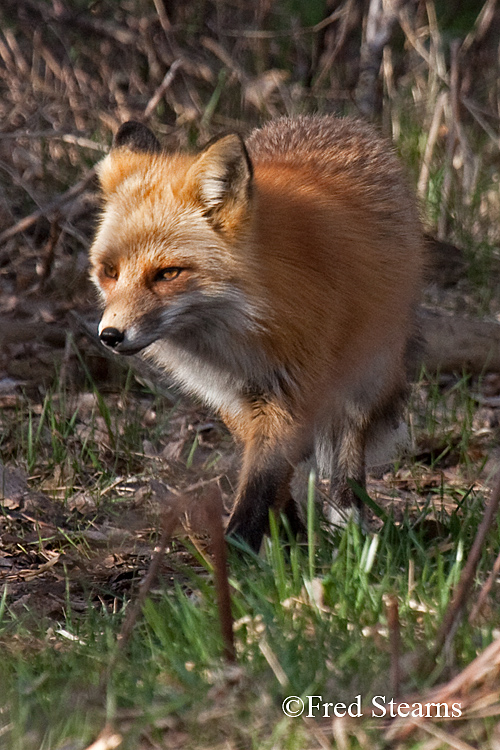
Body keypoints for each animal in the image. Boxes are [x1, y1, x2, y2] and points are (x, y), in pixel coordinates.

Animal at [89, 116, 422, 552]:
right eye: (110, 272)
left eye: (168, 273)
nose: (110, 335)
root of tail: (332, 120)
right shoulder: (234, 398)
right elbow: (268, 478)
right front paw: (284, 536)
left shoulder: (290, 388)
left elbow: (259, 486)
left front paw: (236, 553)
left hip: (369, 372)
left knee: (350, 445)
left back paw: (348, 522)